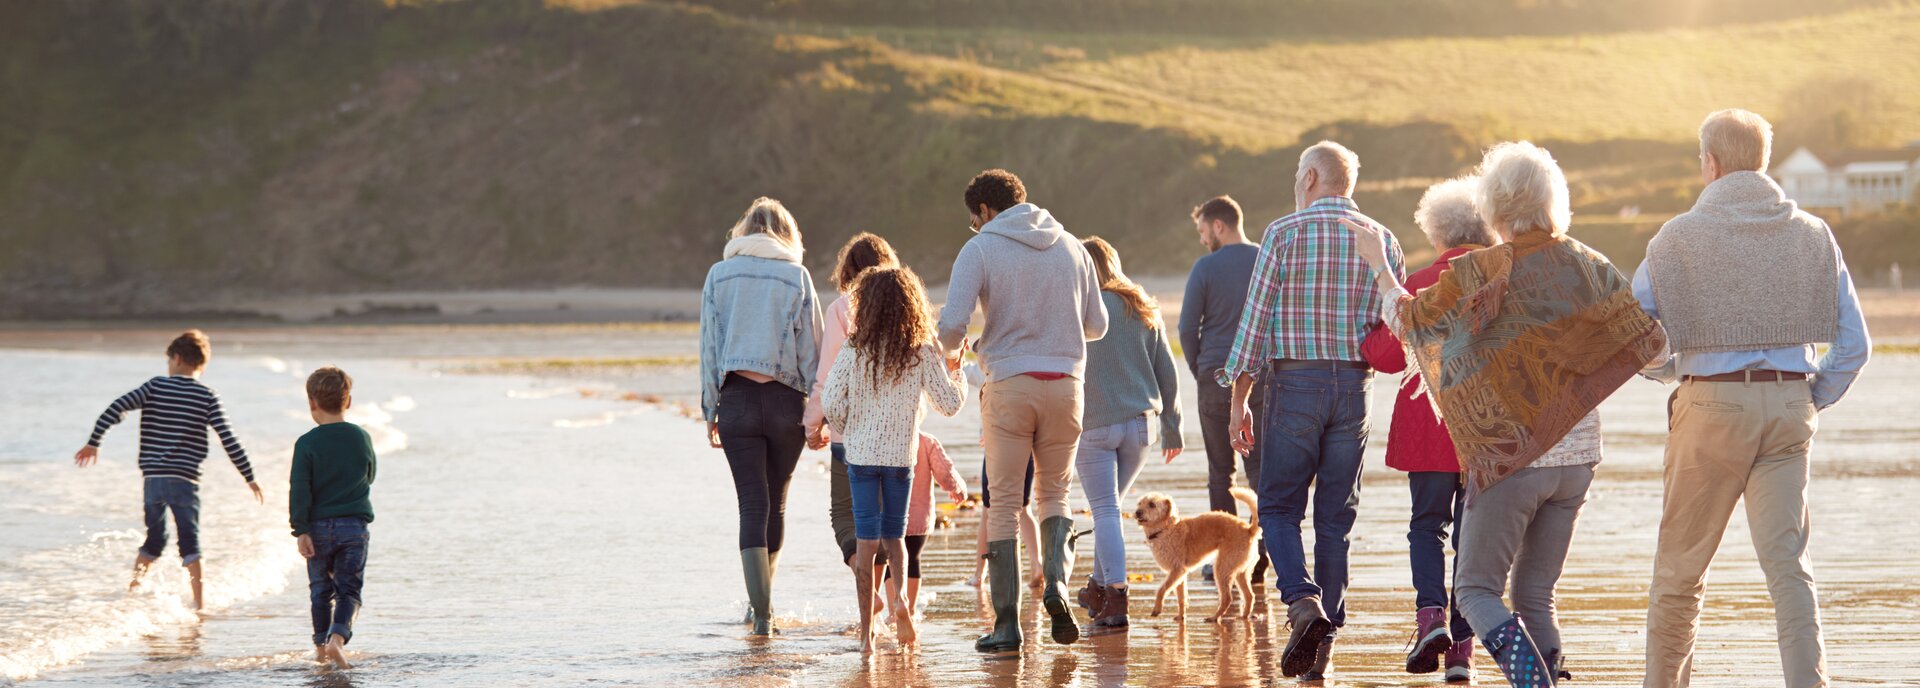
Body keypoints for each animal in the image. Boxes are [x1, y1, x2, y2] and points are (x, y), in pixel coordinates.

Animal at [1121, 484, 1259, 622]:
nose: (1137, 512)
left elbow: (1162, 589)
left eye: (1152, 504)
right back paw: (1244, 616)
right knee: (1249, 595)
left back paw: (1214, 617)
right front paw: (1181, 616)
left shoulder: (1177, 570)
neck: (1165, 530)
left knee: (1227, 598)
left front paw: (1157, 609)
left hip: (1222, 568)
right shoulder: (1180, 574)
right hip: (1241, 571)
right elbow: (1181, 597)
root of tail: (1249, 530)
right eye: (1139, 504)